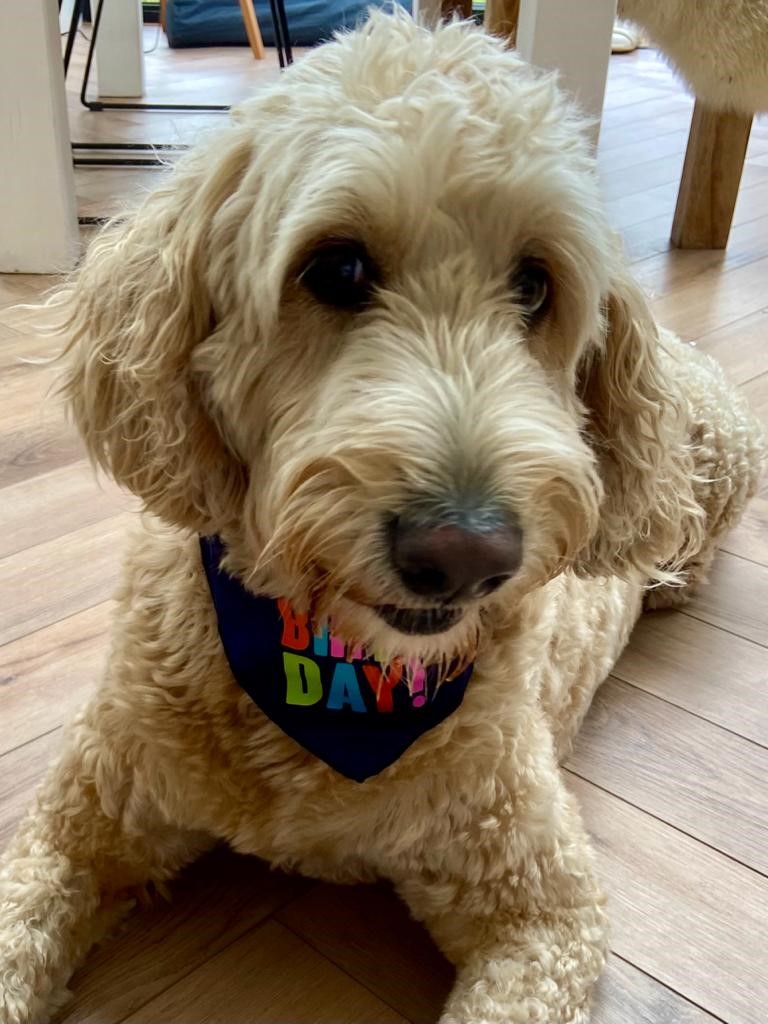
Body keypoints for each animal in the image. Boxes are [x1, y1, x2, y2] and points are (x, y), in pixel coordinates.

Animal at [0, 9, 765, 1024]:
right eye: (337, 268)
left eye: (535, 285)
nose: (466, 554)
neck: (332, 677)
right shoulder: (81, 819)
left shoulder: (542, 908)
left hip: (722, 454)